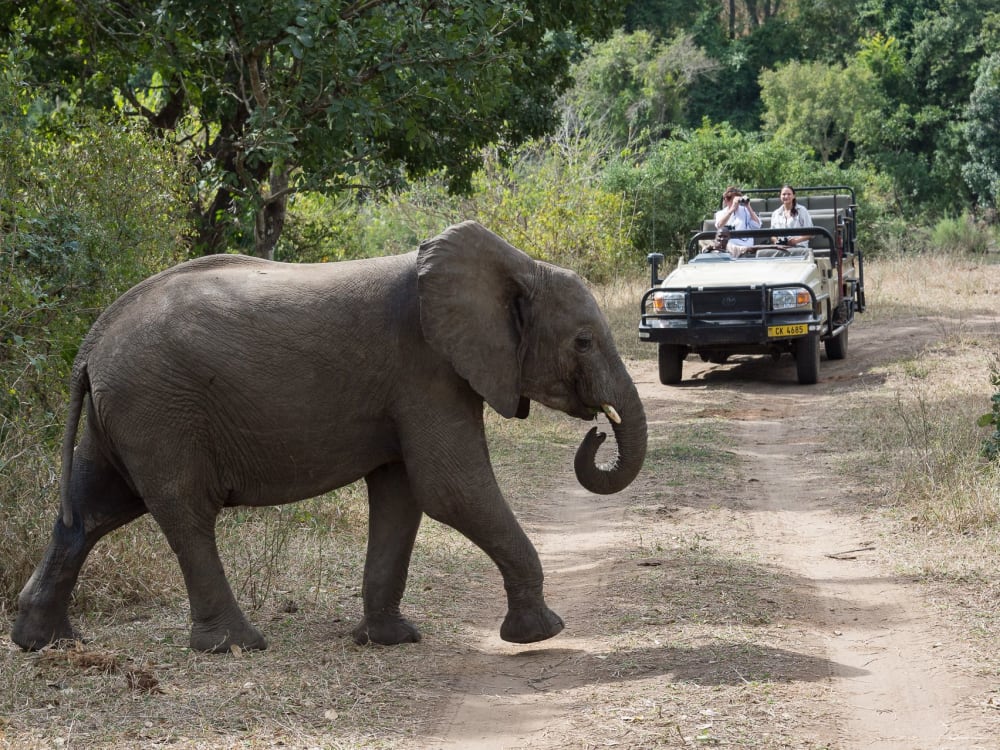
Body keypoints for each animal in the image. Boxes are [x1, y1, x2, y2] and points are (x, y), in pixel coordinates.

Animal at [13, 220, 648, 656]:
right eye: (584, 342)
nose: (598, 429)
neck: (516, 265)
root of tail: (92, 343)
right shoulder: (426, 370)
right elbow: (451, 489)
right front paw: (540, 634)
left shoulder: (409, 386)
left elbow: (404, 496)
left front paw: (391, 639)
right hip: (158, 408)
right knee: (185, 514)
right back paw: (237, 646)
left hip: (122, 413)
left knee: (90, 511)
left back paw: (45, 642)